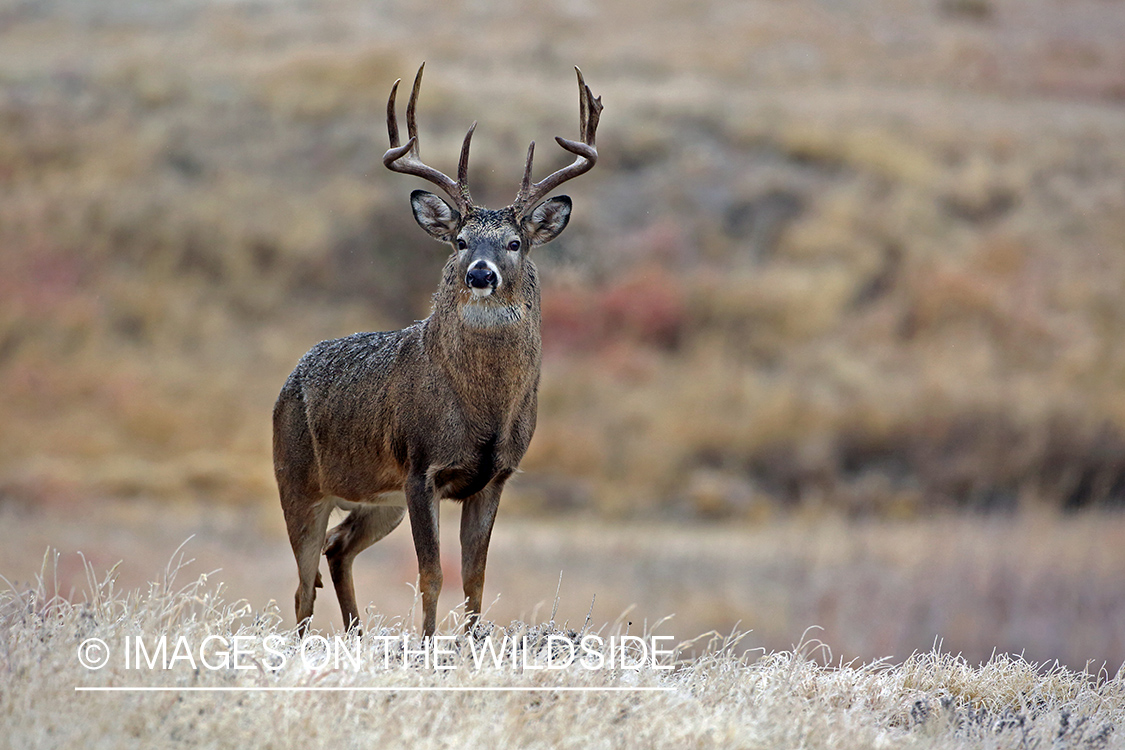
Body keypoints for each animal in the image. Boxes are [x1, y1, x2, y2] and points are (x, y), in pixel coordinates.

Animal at [273, 66, 603, 638]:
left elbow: (474, 577)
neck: (482, 409)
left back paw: (357, 635)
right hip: (297, 481)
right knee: (302, 584)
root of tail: (286, 384)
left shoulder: (494, 476)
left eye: (515, 243)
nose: (480, 274)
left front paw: (471, 643)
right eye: (460, 241)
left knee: (338, 549)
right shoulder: (420, 467)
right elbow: (431, 574)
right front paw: (428, 644)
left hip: (378, 500)